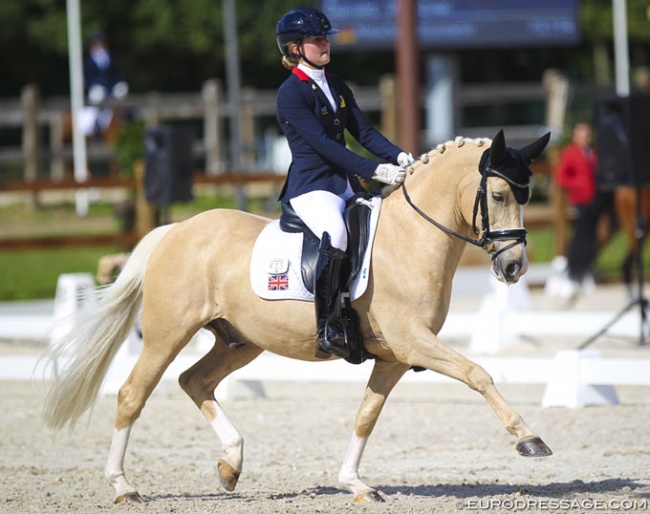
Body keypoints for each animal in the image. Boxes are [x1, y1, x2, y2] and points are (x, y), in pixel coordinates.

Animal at [41, 129, 548, 504]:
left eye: (526, 195)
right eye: (499, 194)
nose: (514, 267)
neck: (411, 237)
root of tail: (175, 230)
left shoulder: (396, 356)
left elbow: (367, 415)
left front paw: (355, 484)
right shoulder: (413, 341)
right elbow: (478, 373)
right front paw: (528, 439)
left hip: (240, 341)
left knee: (194, 381)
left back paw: (231, 465)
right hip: (169, 333)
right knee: (133, 394)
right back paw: (124, 486)